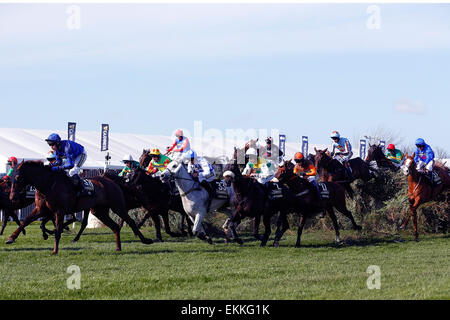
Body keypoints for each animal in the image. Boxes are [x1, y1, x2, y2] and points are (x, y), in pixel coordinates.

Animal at [8, 161, 153, 254]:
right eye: (10, 177)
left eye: (18, 177)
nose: (12, 197)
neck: (48, 185)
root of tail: (112, 181)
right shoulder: (41, 209)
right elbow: (26, 221)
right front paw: (11, 238)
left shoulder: (59, 211)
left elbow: (58, 230)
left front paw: (54, 250)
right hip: (99, 211)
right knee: (115, 226)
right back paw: (118, 248)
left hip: (118, 207)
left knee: (131, 221)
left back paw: (145, 240)